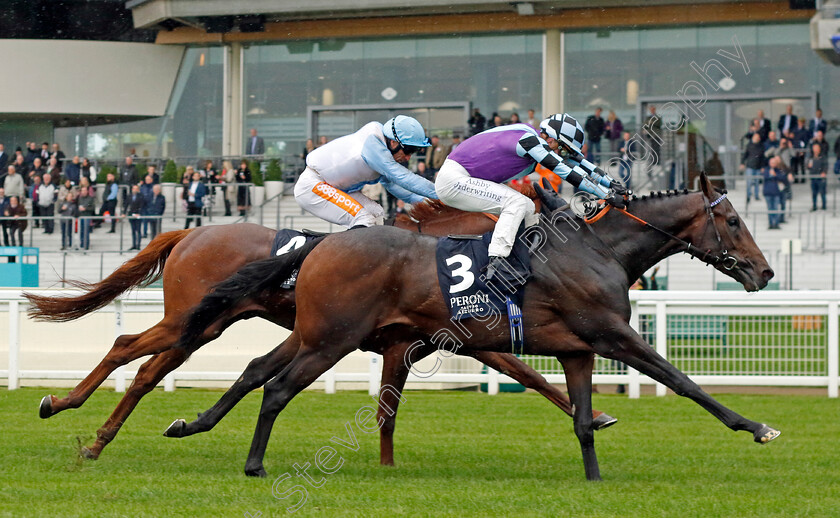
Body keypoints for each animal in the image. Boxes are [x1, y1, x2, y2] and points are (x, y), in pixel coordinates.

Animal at [24, 196, 612, 464]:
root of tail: (189, 234)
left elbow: (528, 375)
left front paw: (594, 415)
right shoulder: (419, 341)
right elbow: (521, 372)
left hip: (206, 324)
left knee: (147, 370)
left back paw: (94, 437)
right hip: (187, 319)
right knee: (126, 346)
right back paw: (61, 405)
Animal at [172, 173, 780, 482]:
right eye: (732, 221)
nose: (766, 272)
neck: (596, 249)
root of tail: (322, 245)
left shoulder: (577, 350)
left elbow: (582, 420)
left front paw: (594, 479)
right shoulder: (611, 335)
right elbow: (682, 381)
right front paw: (755, 426)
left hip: (313, 333)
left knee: (257, 371)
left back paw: (191, 423)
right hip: (331, 340)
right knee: (276, 388)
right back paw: (253, 463)